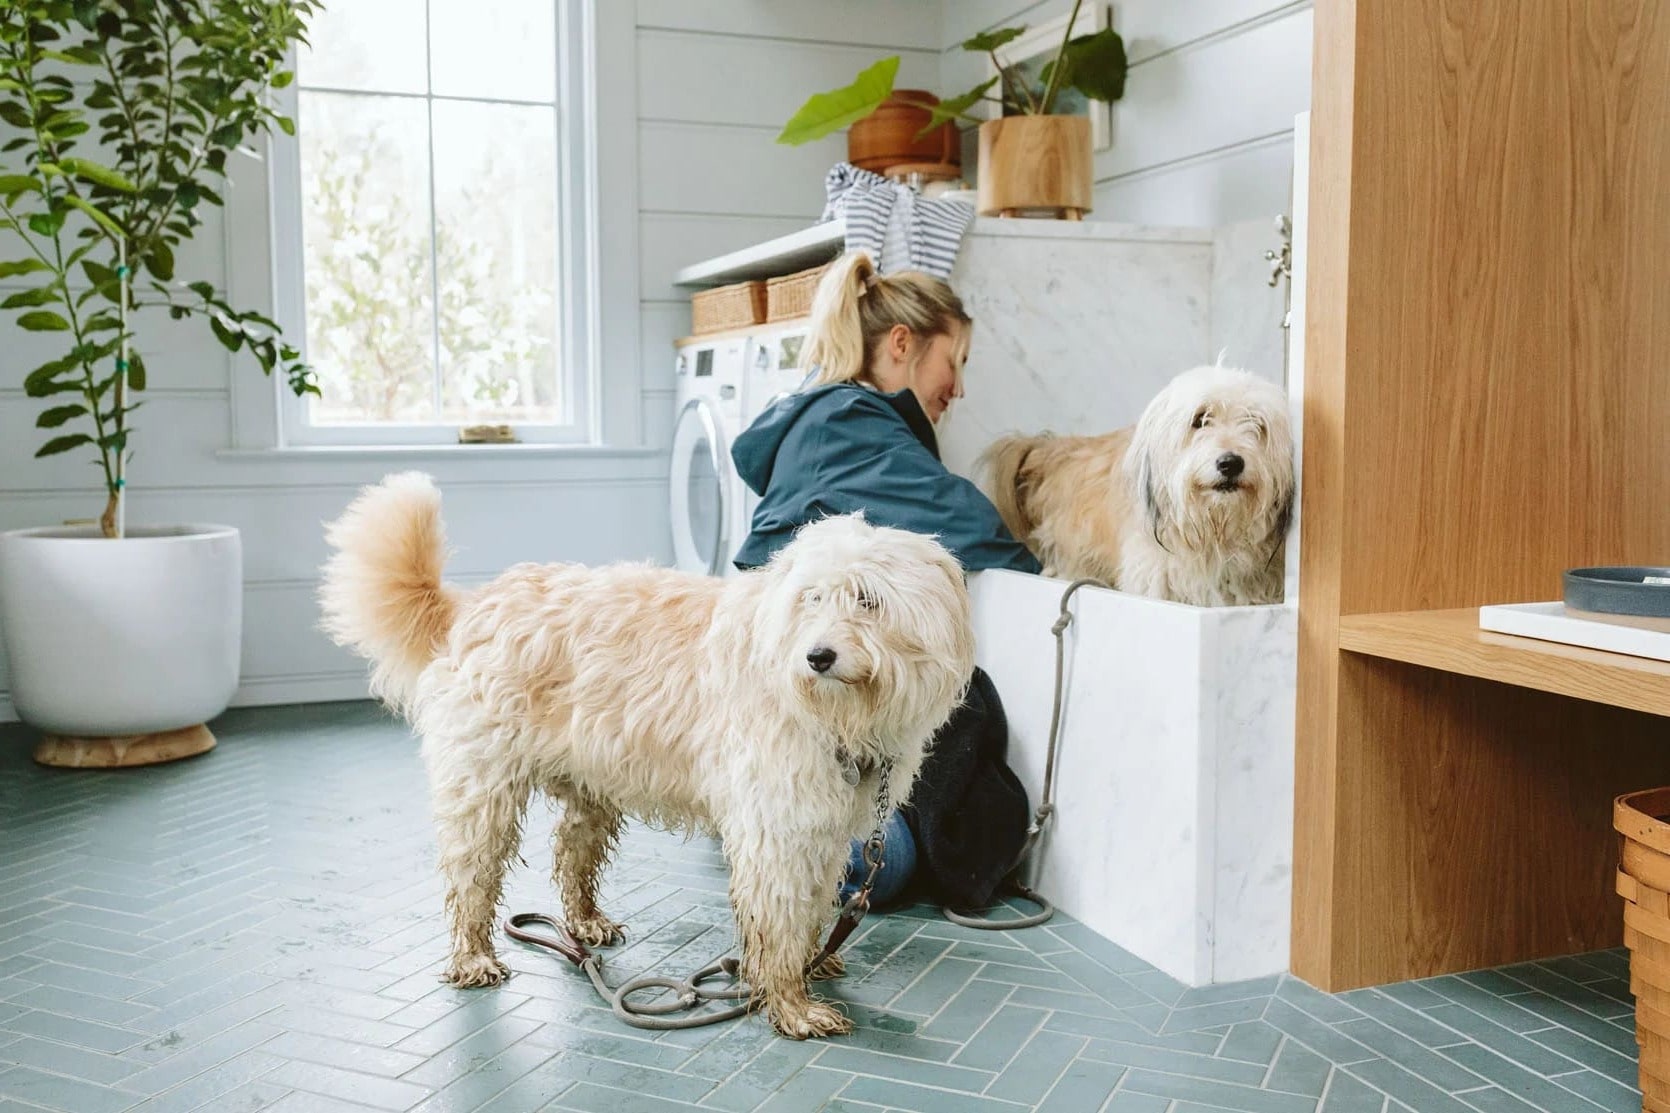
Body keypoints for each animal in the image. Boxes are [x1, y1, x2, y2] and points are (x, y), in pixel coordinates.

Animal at [317, 471, 975, 1036]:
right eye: (811, 599)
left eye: (868, 601)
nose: (817, 657)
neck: (831, 712)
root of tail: (474, 607)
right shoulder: (776, 826)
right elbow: (780, 918)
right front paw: (791, 1002)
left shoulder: (822, 826)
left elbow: (811, 904)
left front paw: (815, 961)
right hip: (484, 789)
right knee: (470, 877)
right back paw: (473, 956)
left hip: (590, 783)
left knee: (571, 851)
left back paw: (584, 923)